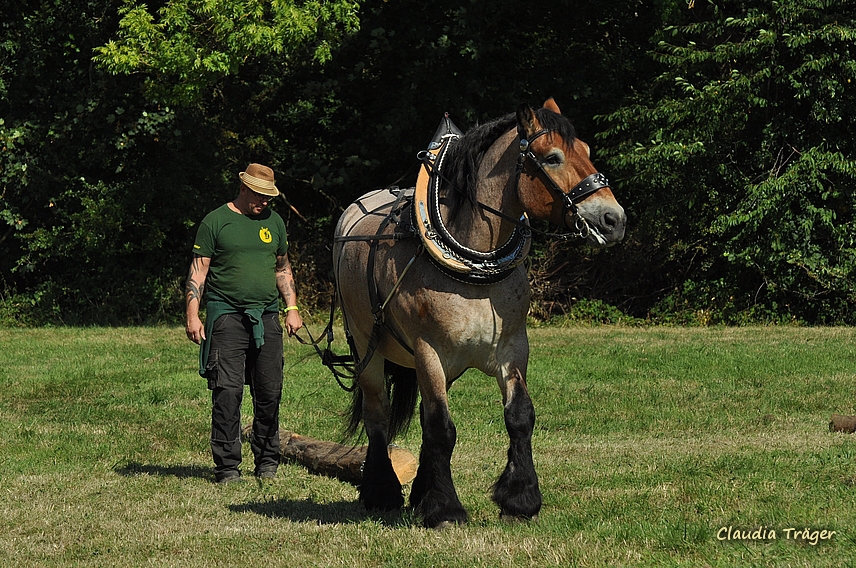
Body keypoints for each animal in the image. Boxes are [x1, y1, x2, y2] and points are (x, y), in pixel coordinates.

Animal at [332, 98, 624, 528]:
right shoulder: (429, 352)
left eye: (586, 151)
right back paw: (382, 491)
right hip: (367, 347)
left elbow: (518, 416)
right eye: (552, 157)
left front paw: (519, 499)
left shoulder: (512, 349)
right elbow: (441, 427)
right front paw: (445, 509)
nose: (614, 219)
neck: (474, 265)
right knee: (378, 417)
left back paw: (420, 492)